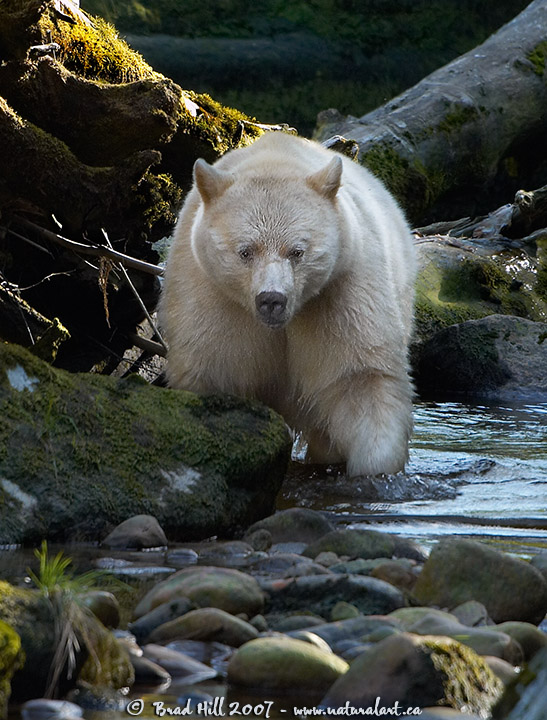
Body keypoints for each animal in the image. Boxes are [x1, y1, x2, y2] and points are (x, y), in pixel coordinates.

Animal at [159, 131, 416, 476]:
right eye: (245, 251)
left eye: (297, 251)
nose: (272, 299)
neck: (275, 160)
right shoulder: (213, 300)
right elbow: (212, 370)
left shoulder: (342, 291)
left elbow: (361, 379)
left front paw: (375, 468)